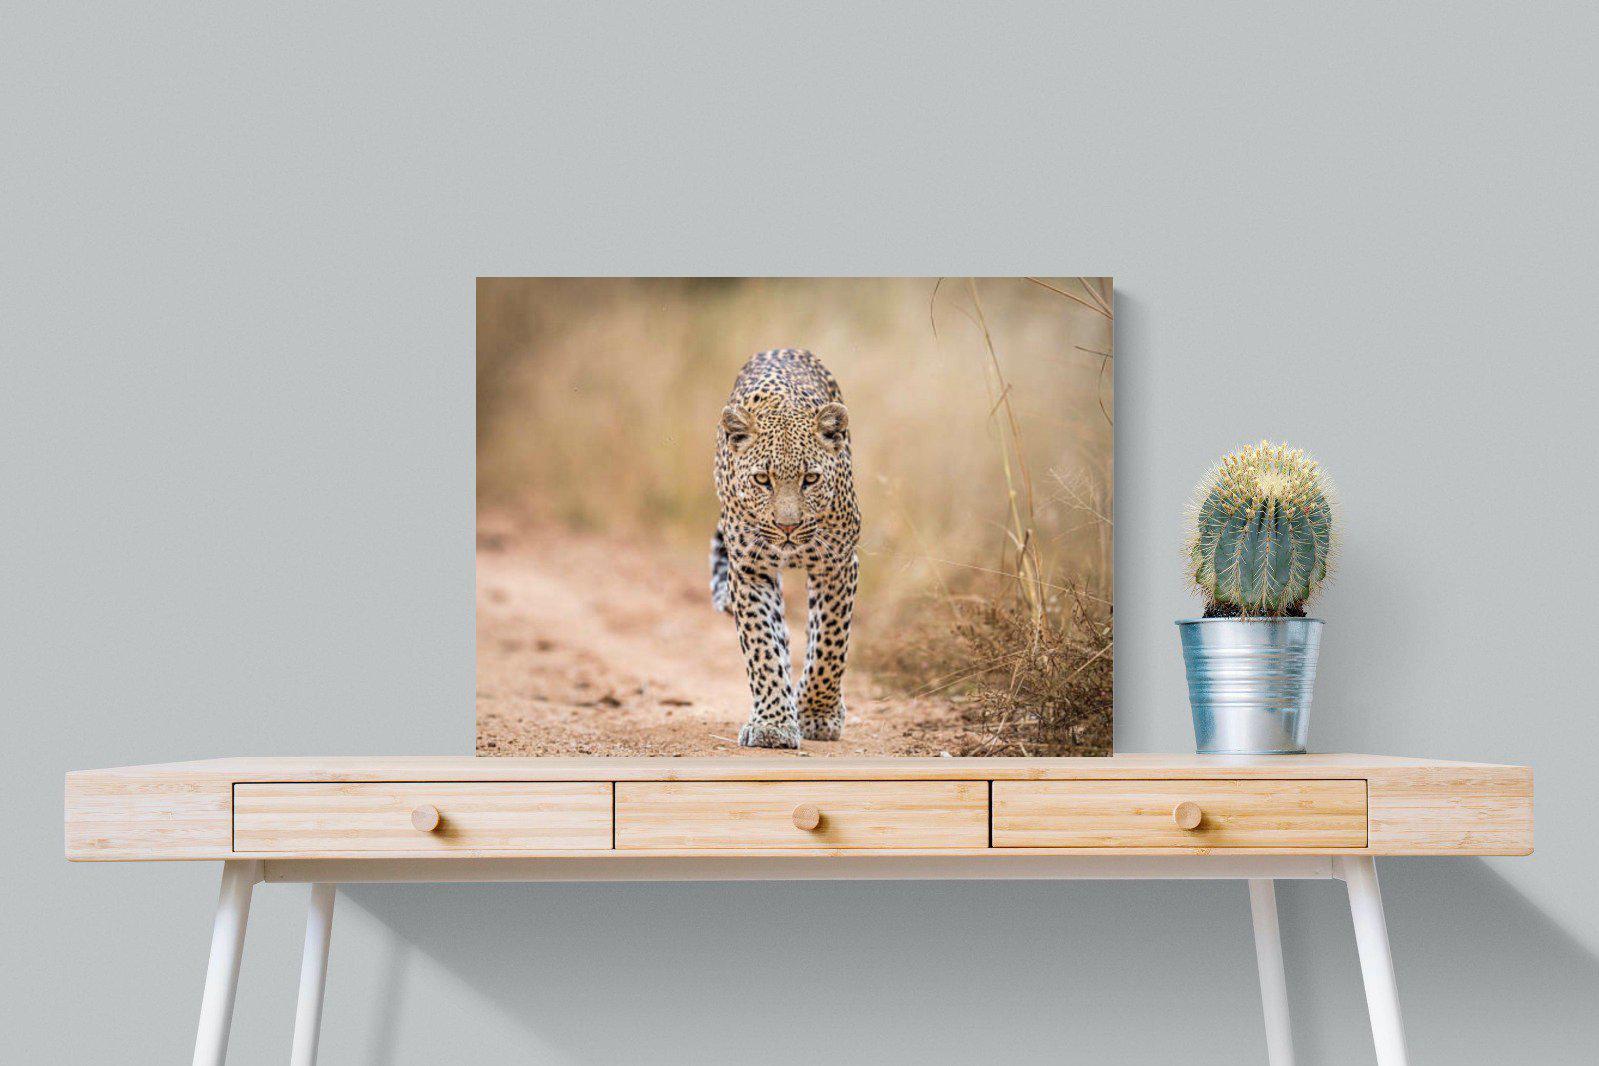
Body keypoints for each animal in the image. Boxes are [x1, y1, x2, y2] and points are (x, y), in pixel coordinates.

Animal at [710, 348, 861, 748]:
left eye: (811, 479)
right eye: (763, 480)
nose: (787, 526)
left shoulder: (837, 564)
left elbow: (830, 644)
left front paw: (818, 714)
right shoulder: (749, 569)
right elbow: (762, 645)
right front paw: (773, 724)